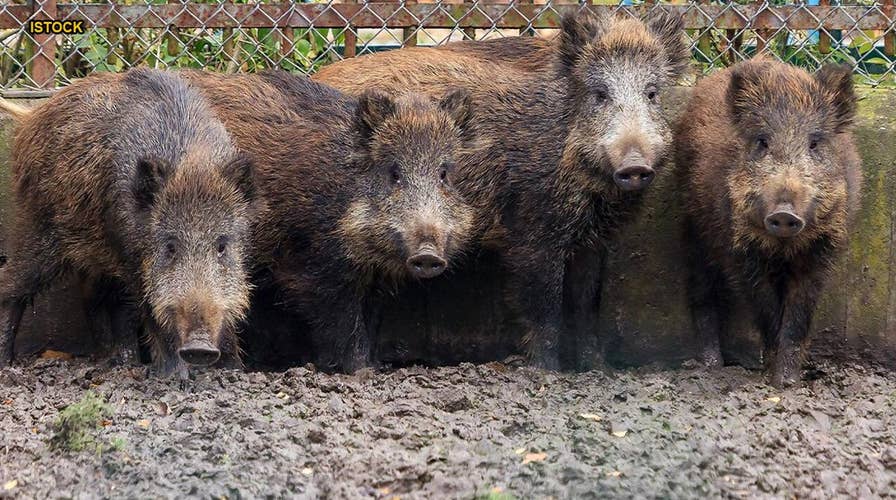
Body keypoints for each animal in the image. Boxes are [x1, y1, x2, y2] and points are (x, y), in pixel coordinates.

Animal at [0, 68, 256, 378]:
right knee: (11, 284)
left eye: (221, 245)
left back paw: (119, 362)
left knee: (96, 298)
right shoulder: (132, 256)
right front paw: (175, 378)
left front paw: (235, 371)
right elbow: (152, 310)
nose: (200, 347)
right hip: (39, 227)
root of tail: (32, 117)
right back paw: (6, 362)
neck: (192, 163)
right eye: (170, 246)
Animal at [180, 70, 488, 373]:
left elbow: (371, 319)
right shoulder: (315, 266)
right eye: (394, 173)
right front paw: (360, 371)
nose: (427, 254)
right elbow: (344, 321)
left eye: (444, 174)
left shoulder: (374, 279)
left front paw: (375, 366)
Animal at [313, 9, 691, 370]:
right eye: (600, 94)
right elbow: (545, 307)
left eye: (652, 93)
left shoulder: (594, 241)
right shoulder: (533, 231)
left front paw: (600, 370)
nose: (634, 166)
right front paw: (546, 370)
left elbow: (587, 304)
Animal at [674, 58, 862, 387]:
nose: (784, 213)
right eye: (762, 141)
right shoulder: (738, 249)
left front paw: (788, 383)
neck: (783, 246)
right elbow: (763, 305)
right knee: (701, 289)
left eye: (814, 143)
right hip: (694, 226)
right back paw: (711, 365)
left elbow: (799, 312)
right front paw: (774, 378)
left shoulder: (823, 250)